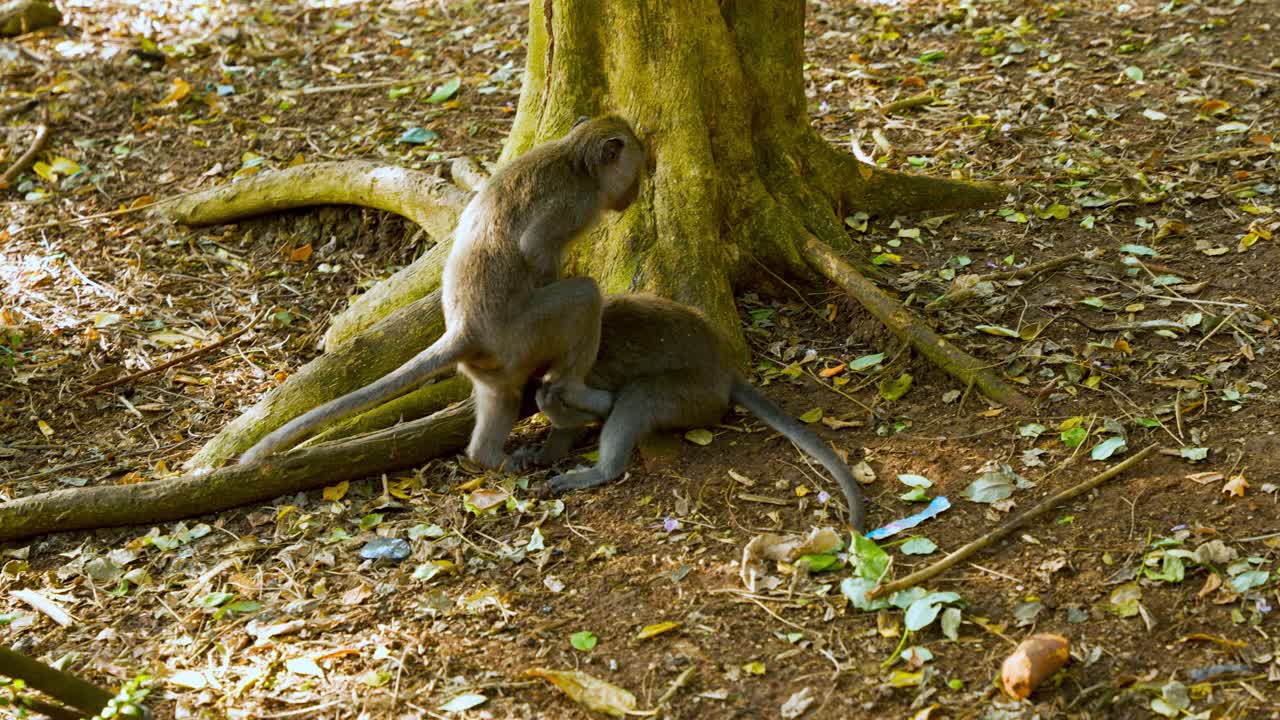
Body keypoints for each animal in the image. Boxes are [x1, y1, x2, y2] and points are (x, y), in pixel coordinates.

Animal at [240, 116, 646, 467]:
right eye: (637, 167)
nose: (637, 190)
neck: (575, 159)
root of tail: (464, 330)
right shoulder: (574, 206)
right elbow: (535, 249)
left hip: (491, 362)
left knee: (500, 396)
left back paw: (487, 456)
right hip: (524, 333)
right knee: (583, 297)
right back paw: (574, 390)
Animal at [513, 294, 867, 533]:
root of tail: (725, 369)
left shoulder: (577, 374)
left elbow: (604, 403)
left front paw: (553, 411)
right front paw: (540, 455)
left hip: (694, 396)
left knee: (638, 395)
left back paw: (601, 471)